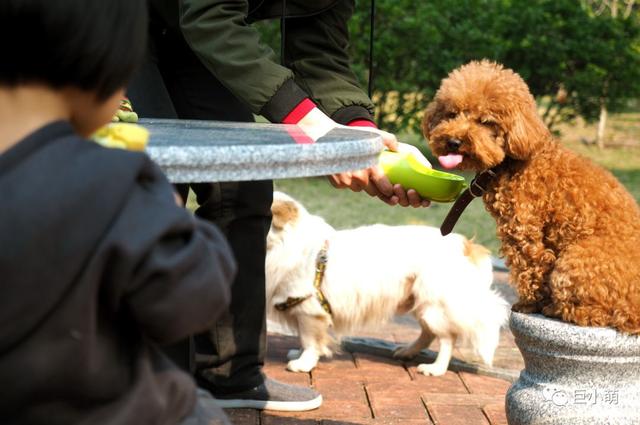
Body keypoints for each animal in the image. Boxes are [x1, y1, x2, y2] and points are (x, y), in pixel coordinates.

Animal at [264, 192, 504, 374]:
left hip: (435, 304)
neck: (284, 244)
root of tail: (466, 245)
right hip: (421, 303)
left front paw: (303, 363)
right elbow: (303, 338)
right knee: (428, 334)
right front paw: (299, 354)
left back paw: (435, 369)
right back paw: (407, 351)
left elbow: (309, 340)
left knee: (447, 337)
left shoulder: (309, 309)